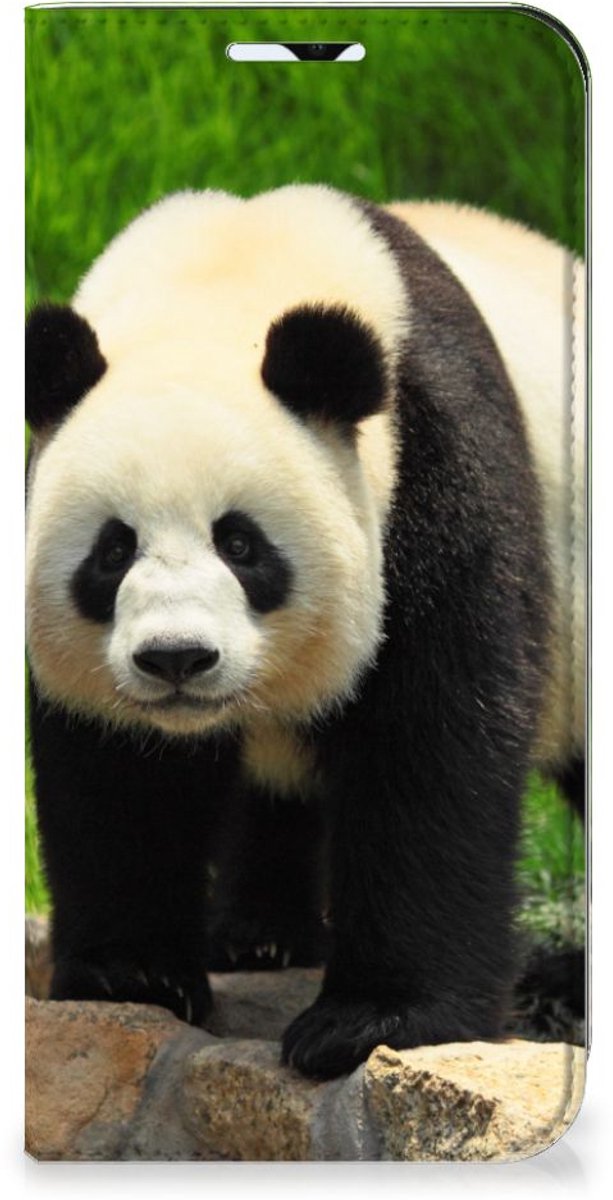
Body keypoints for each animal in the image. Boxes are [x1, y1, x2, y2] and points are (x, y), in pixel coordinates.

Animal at [25, 185, 585, 1080]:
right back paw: (259, 934)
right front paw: (130, 976)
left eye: (241, 543)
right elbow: (118, 773)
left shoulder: (436, 466)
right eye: (113, 550)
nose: (176, 659)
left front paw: (372, 1021)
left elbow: (431, 742)